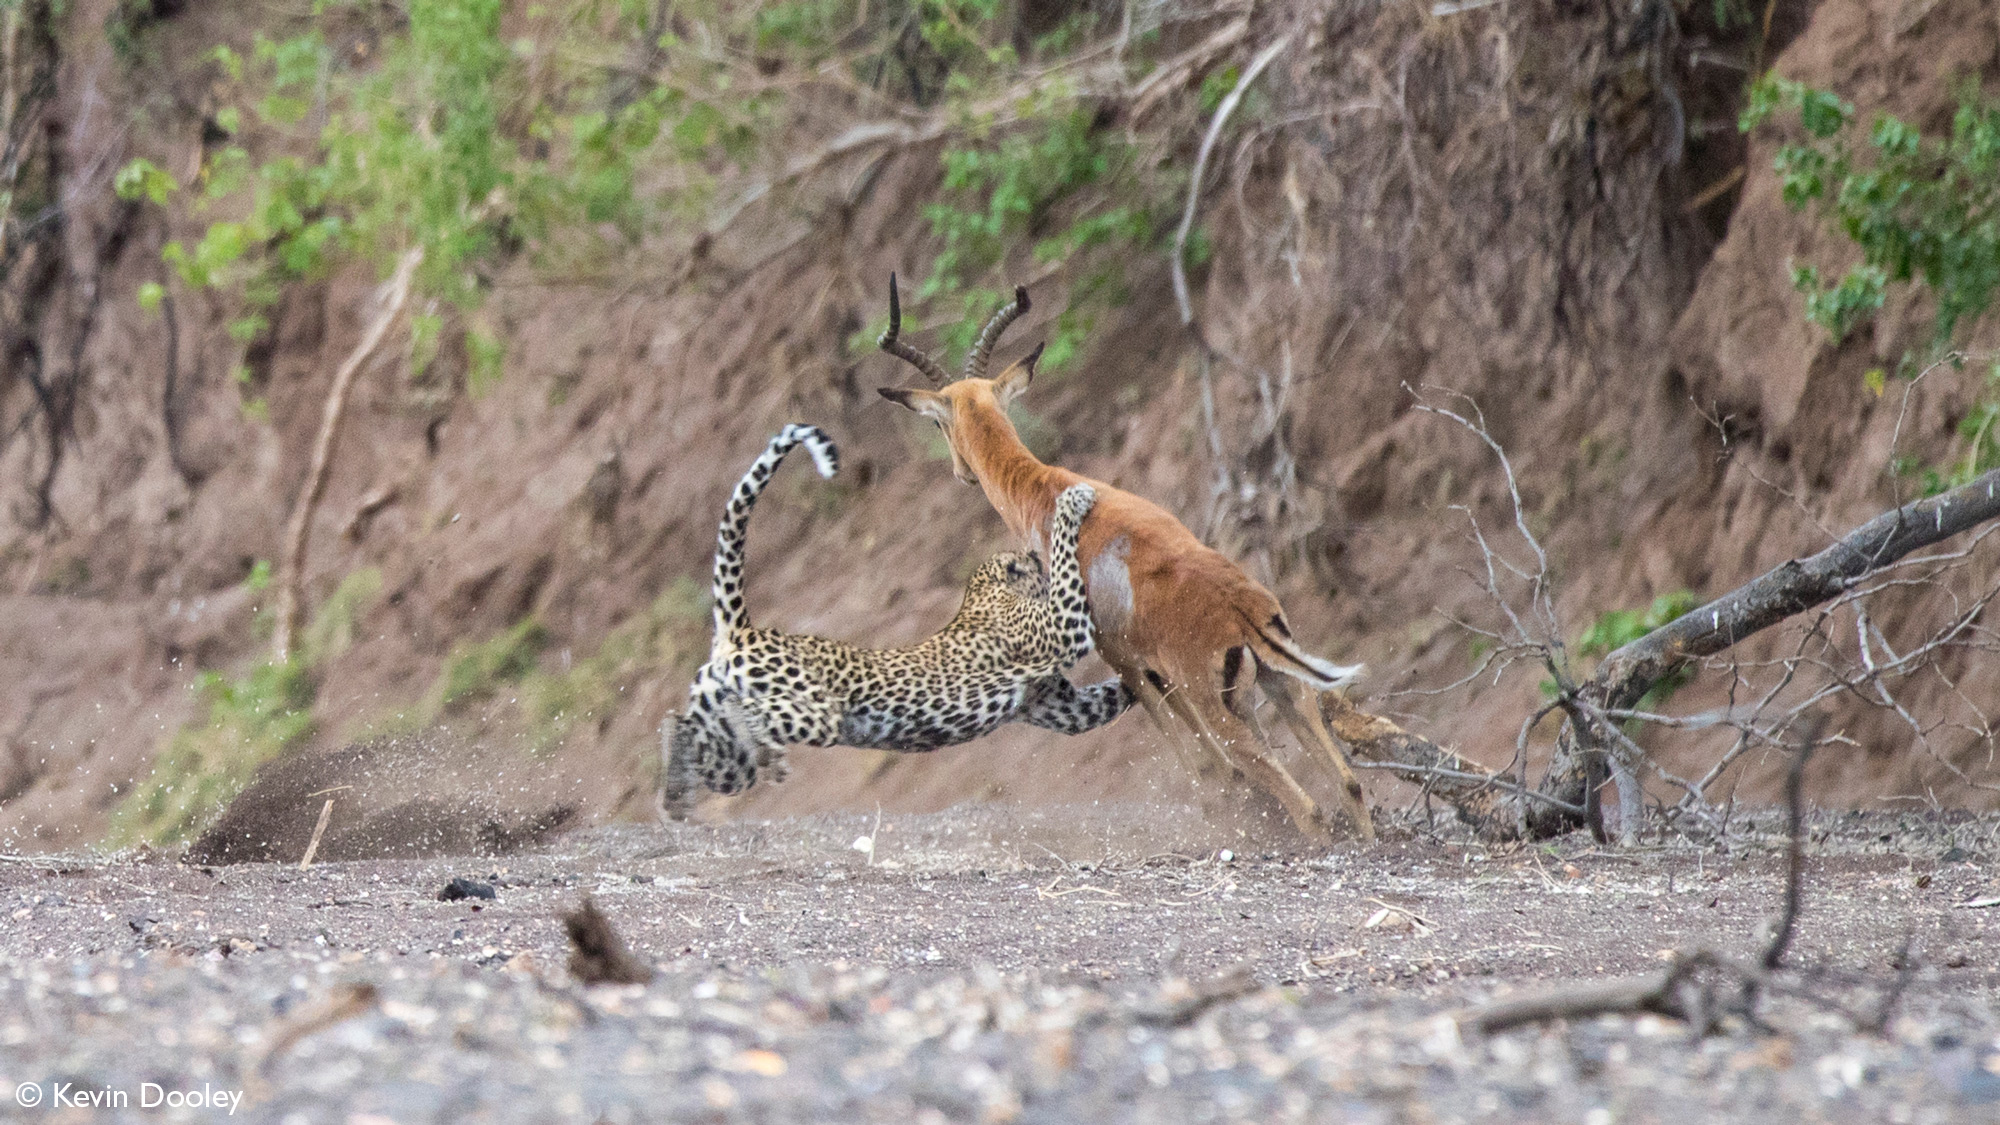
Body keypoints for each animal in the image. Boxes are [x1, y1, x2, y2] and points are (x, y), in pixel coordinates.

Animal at [656, 422, 1128, 812]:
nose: (1034, 569)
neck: (984, 592)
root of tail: (742, 633)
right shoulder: (1060, 629)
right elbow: (1065, 562)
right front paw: (1073, 502)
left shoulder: (1059, 707)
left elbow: (1110, 698)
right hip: (815, 713)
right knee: (753, 718)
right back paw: (767, 757)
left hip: (726, 748)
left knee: (694, 738)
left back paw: (675, 786)